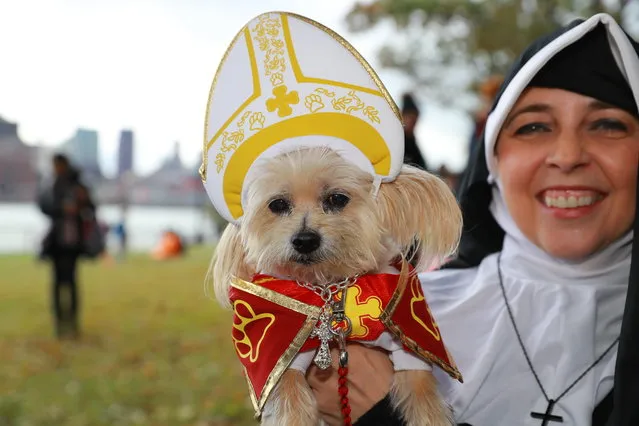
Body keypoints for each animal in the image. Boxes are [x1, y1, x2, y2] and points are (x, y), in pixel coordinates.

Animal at [212, 145, 462, 424]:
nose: (305, 240)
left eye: (337, 199)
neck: (329, 288)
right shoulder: (281, 359)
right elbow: (291, 405)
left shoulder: (409, 341)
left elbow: (423, 395)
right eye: (278, 204)